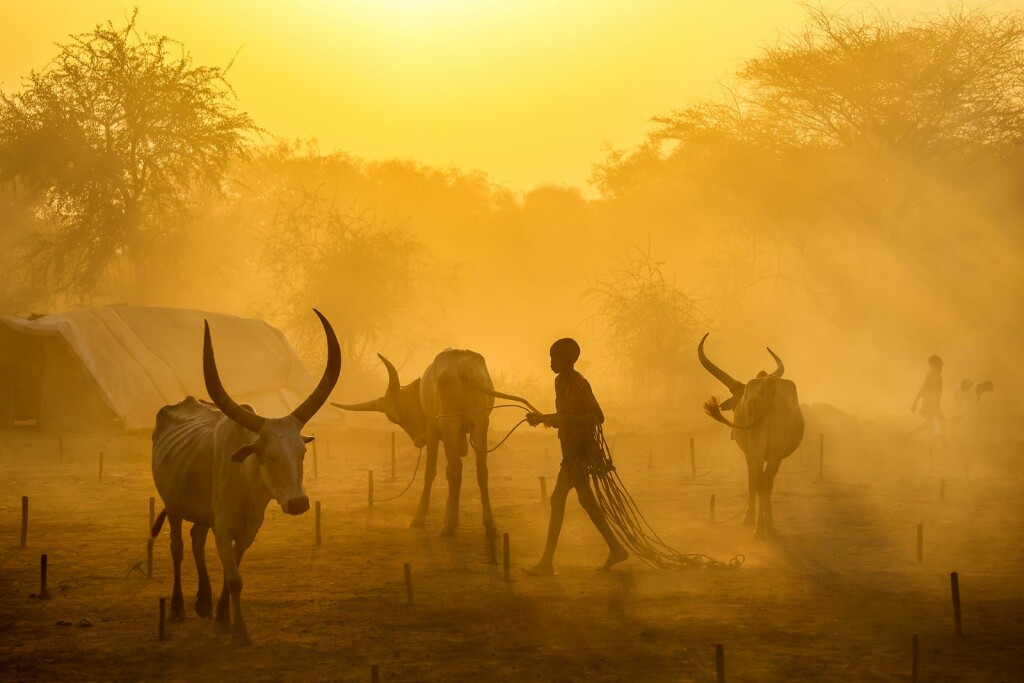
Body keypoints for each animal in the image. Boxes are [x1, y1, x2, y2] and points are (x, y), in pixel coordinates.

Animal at [149, 313, 339, 643]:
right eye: (266, 454)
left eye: (302, 451)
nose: (298, 503)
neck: (247, 485)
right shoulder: (223, 526)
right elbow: (235, 578)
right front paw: (239, 631)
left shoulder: (249, 529)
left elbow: (232, 574)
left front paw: (223, 617)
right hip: (172, 506)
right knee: (178, 548)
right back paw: (177, 608)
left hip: (202, 512)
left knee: (196, 539)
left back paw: (203, 602)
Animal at [333, 350, 505, 536]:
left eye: (393, 417)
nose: (419, 441)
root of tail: (464, 369)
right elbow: (447, 471)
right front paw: (449, 513)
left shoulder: (432, 430)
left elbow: (430, 471)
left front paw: (420, 517)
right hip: (481, 423)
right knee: (481, 469)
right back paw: (489, 524)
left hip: (449, 423)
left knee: (455, 468)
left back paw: (448, 527)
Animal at [700, 333, 802, 540]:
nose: (732, 435)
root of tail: (769, 384)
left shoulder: (748, 453)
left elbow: (751, 482)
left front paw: (749, 518)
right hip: (774, 451)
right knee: (766, 482)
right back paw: (767, 526)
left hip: (756, 448)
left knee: (759, 482)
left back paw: (759, 527)